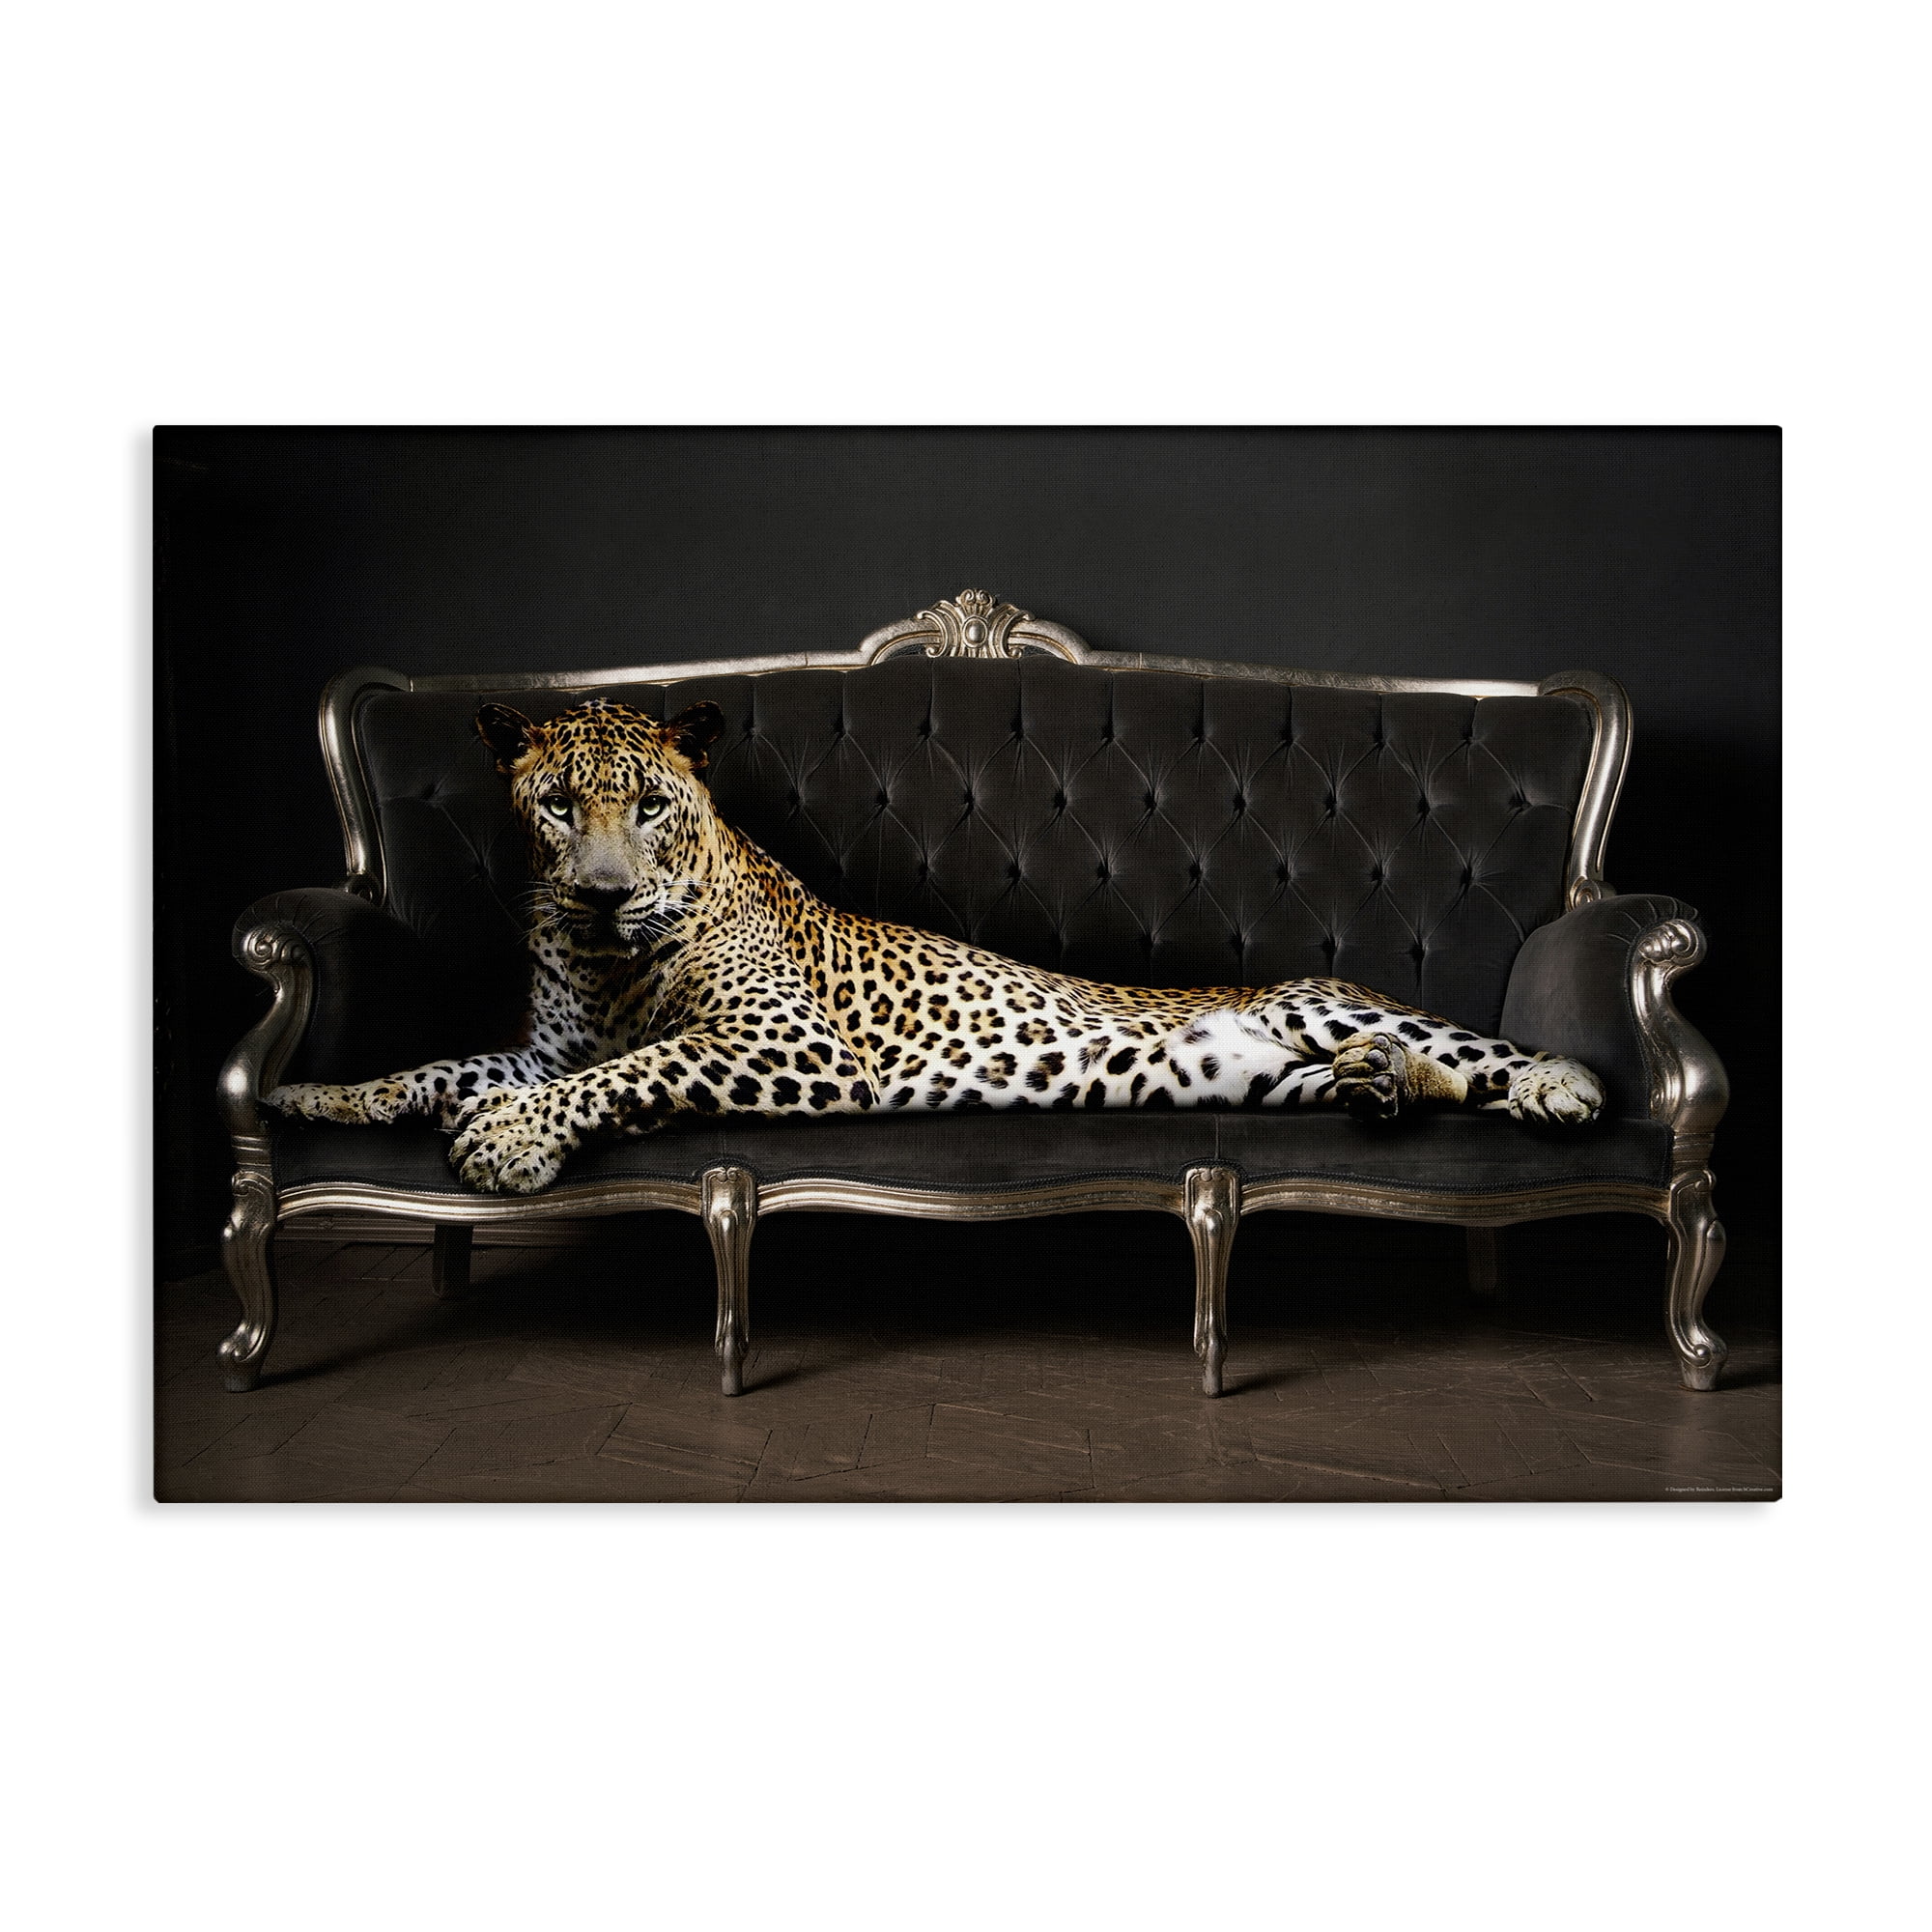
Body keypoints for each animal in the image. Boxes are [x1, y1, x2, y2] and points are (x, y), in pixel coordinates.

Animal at [267, 696, 1606, 1194]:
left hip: (1324, 1002)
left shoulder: (790, 1044)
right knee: (1390, 1078)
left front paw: (505, 1141)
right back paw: (1382, 1089)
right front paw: (320, 1097)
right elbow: (441, 1064)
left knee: (1473, 1053)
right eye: (556, 806)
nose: (599, 894)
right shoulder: (545, 1046)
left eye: (648, 805)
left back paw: (1551, 1084)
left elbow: (638, 1068)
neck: (609, 961)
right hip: (1255, 1071)